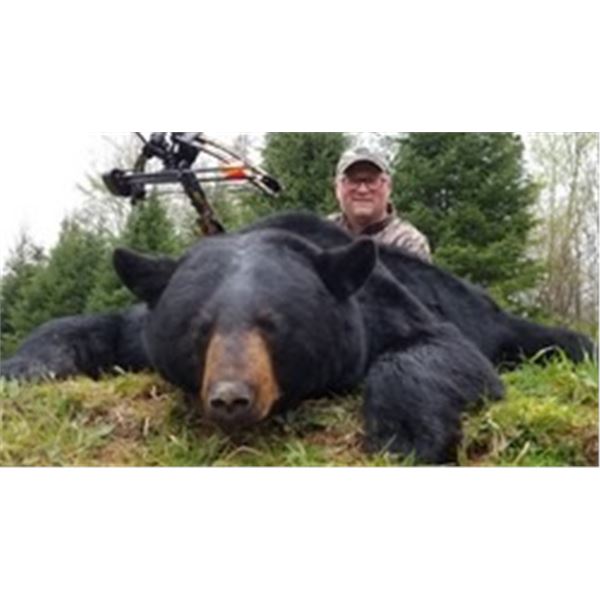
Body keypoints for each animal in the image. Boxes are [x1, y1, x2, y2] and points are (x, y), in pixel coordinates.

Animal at [0, 212, 594, 463]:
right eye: (200, 328)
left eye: (273, 324)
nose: (231, 397)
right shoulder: (143, 329)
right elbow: (83, 325)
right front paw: (20, 368)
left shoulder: (386, 311)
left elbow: (442, 353)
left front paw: (405, 436)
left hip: (501, 321)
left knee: (558, 341)